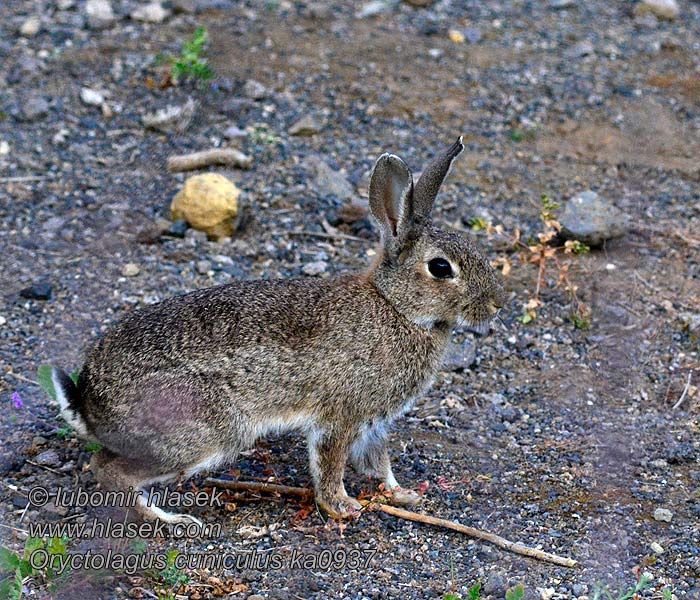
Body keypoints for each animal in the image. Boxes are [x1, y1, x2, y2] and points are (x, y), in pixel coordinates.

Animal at [53, 138, 504, 524]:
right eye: (441, 268)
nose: (497, 304)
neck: (396, 307)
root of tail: (89, 402)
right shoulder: (340, 414)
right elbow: (331, 462)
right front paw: (343, 506)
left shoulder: (374, 422)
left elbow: (380, 463)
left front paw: (402, 494)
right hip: (203, 431)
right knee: (109, 470)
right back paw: (169, 519)